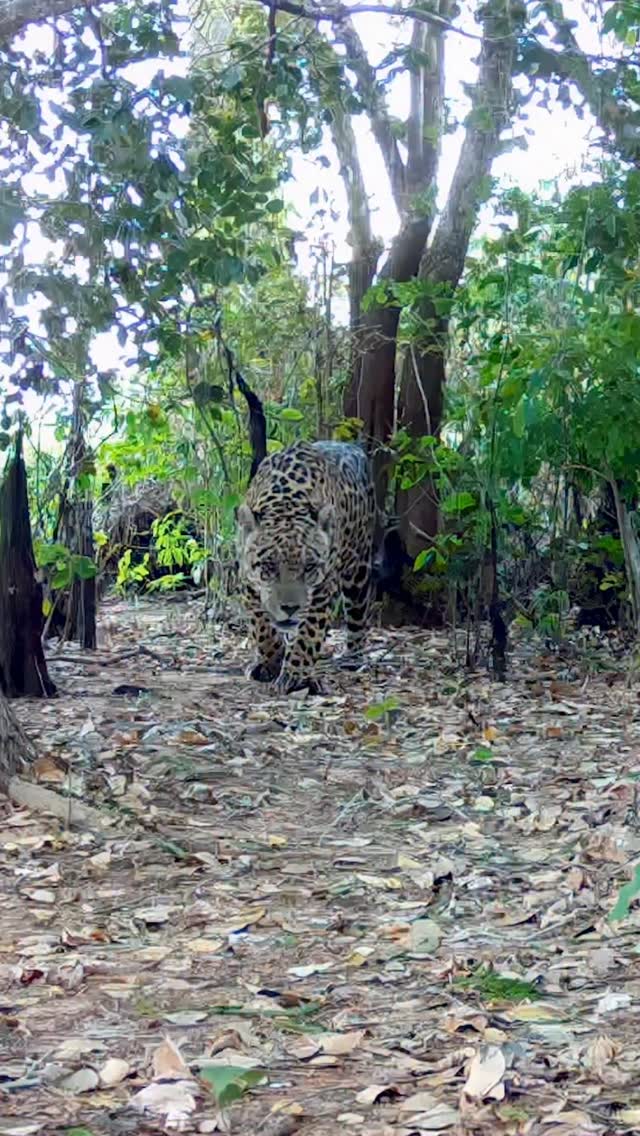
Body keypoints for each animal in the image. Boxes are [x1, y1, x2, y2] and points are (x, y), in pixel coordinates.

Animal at [236, 440, 376, 695]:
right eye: (268, 565)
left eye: (309, 567)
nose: (290, 608)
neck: (285, 504)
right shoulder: (247, 582)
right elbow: (261, 626)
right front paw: (270, 663)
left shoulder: (321, 590)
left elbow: (308, 634)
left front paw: (296, 676)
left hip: (358, 569)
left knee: (357, 615)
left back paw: (353, 658)